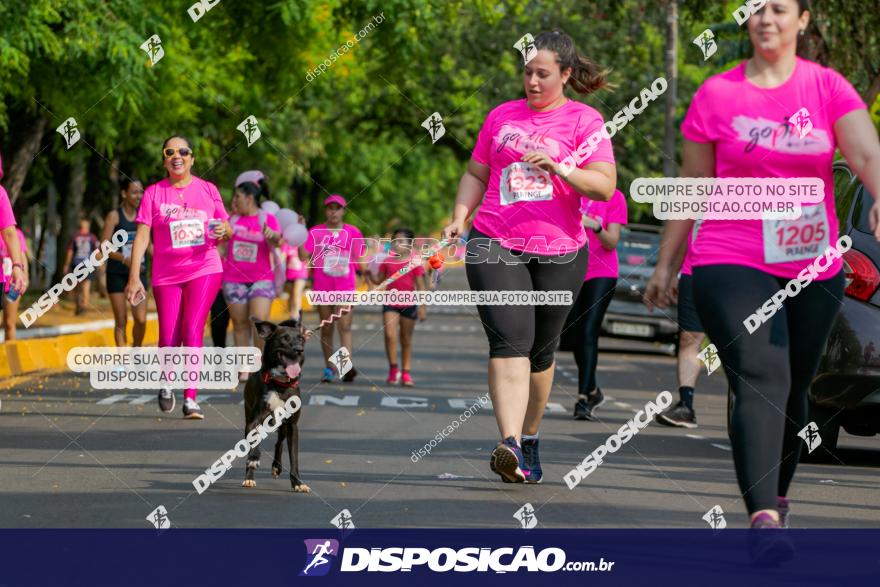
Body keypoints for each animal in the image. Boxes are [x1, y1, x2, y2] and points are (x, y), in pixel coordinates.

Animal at [241, 320, 310, 494]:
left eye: (301, 338)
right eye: (284, 338)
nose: (299, 350)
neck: (280, 383)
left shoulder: (292, 426)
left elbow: (294, 457)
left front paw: (297, 482)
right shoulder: (254, 421)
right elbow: (254, 442)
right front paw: (253, 459)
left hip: (283, 426)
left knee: (278, 443)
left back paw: (276, 467)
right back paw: (249, 477)